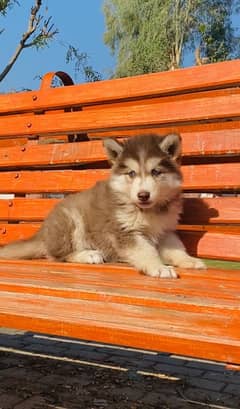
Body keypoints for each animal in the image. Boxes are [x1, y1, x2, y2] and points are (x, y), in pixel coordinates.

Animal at [0, 134, 206, 278]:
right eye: (131, 173)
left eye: (156, 172)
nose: (143, 195)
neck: (148, 211)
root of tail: (42, 233)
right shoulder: (124, 231)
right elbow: (145, 250)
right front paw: (159, 267)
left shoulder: (166, 230)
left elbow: (176, 249)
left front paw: (189, 261)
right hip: (71, 221)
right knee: (59, 256)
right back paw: (87, 255)